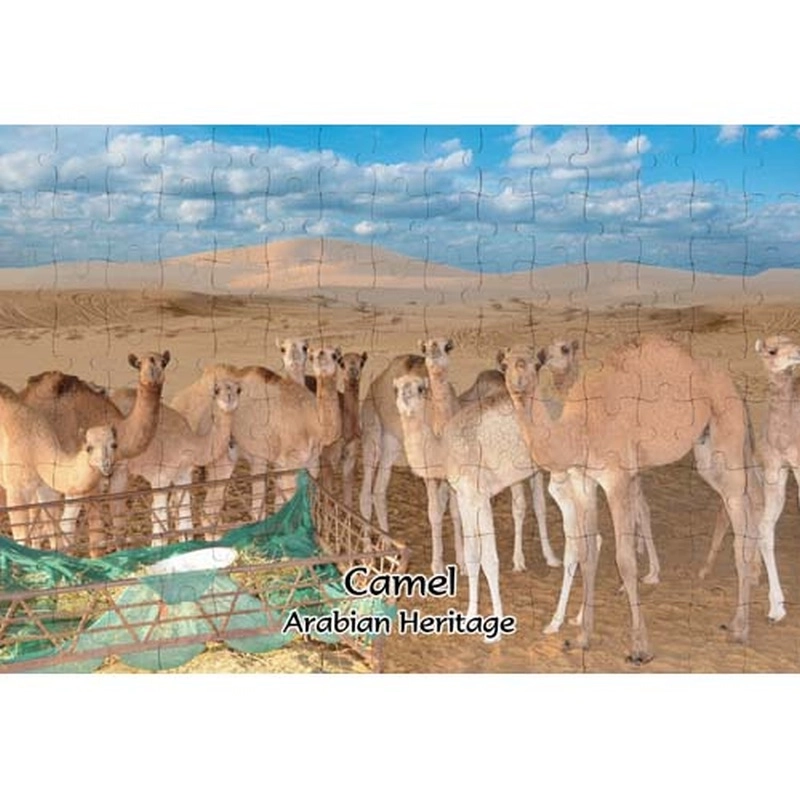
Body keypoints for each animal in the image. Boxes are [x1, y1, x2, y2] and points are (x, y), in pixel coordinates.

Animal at [0, 382, 118, 550]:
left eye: (114, 445)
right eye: (88, 447)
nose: (106, 465)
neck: (35, 447)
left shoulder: (46, 489)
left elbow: (53, 531)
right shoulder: (16, 490)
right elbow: (21, 538)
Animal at [110, 375, 241, 546]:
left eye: (239, 389)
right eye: (216, 390)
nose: (229, 398)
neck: (189, 443)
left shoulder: (183, 475)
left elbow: (186, 524)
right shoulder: (160, 478)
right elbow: (160, 529)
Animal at [501, 336, 760, 662]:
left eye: (534, 364)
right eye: (505, 364)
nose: (518, 384)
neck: (578, 429)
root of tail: (733, 387)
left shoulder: (618, 478)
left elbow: (625, 560)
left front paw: (639, 647)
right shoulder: (583, 481)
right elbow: (586, 553)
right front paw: (583, 637)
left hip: (729, 431)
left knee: (743, 523)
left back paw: (741, 628)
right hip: (707, 450)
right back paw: (736, 619)